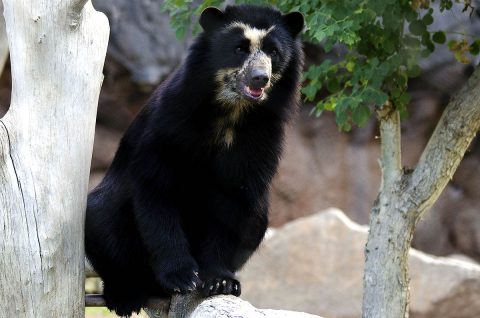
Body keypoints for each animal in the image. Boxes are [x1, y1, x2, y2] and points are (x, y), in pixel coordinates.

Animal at [86, 4, 304, 316]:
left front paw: (220, 281)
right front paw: (182, 276)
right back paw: (125, 294)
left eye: (273, 52)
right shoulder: (171, 122)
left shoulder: (261, 137)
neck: (232, 111)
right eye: (239, 49)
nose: (259, 78)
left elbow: (236, 198)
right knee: (101, 214)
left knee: (257, 216)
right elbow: (156, 186)